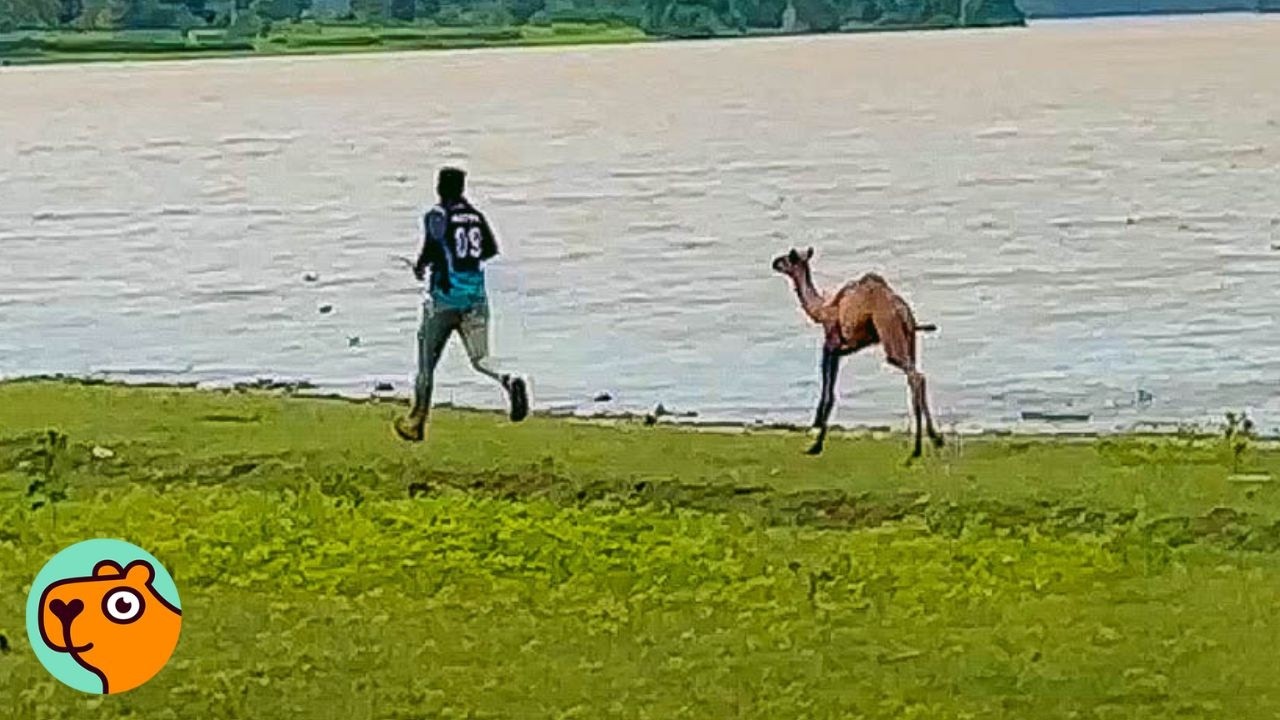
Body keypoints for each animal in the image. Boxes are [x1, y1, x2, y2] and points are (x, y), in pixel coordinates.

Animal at [771, 247, 944, 459]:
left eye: (787, 258)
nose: (774, 262)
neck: (822, 310)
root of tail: (903, 311)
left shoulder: (831, 344)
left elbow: (829, 392)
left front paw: (816, 444)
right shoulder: (845, 349)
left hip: (891, 336)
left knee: (915, 376)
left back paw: (917, 448)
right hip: (910, 340)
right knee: (919, 375)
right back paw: (935, 439)